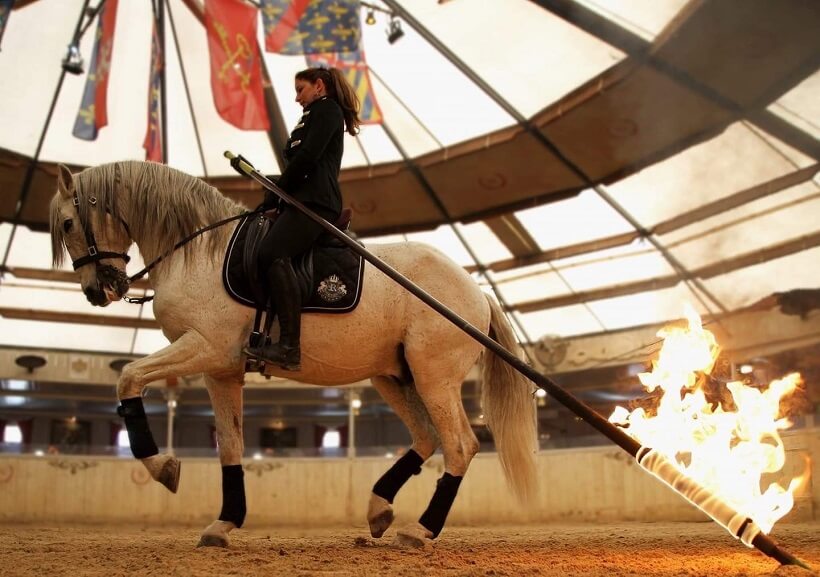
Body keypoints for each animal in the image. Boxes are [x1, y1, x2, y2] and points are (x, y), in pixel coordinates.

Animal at [51, 160, 540, 548]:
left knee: (460, 445)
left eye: (69, 223)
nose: (99, 291)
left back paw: (420, 531)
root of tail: (476, 290)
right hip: (394, 376)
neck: (199, 250)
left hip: (433, 376)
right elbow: (230, 444)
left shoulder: (204, 347)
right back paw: (379, 509)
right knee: (426, 437)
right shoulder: (220, 369)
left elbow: (129, 377)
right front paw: (223, 524)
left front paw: (163, 467)